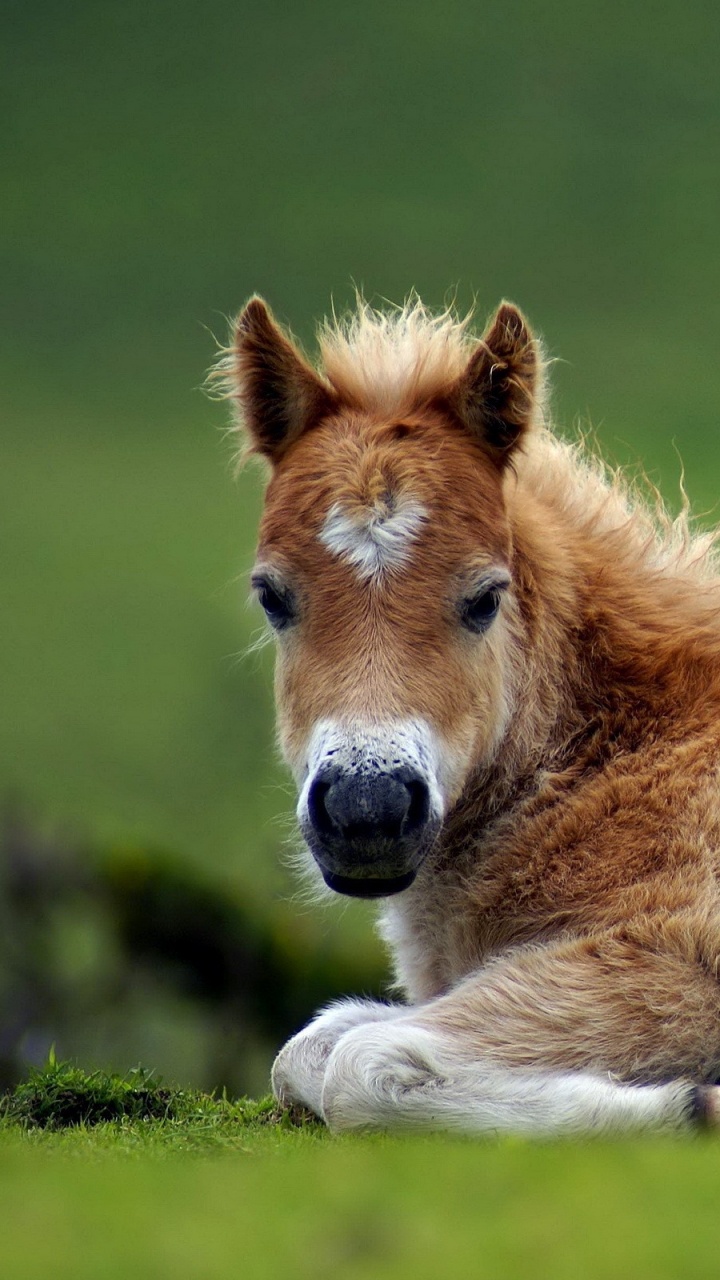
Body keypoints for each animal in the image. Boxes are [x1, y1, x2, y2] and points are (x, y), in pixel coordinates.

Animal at [215, 294, 717, 1136]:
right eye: (272, 596)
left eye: (485, 598)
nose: (368, 810)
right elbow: (313, 1047)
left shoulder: (677, 951)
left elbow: (362, 1062)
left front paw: (692, 1104)